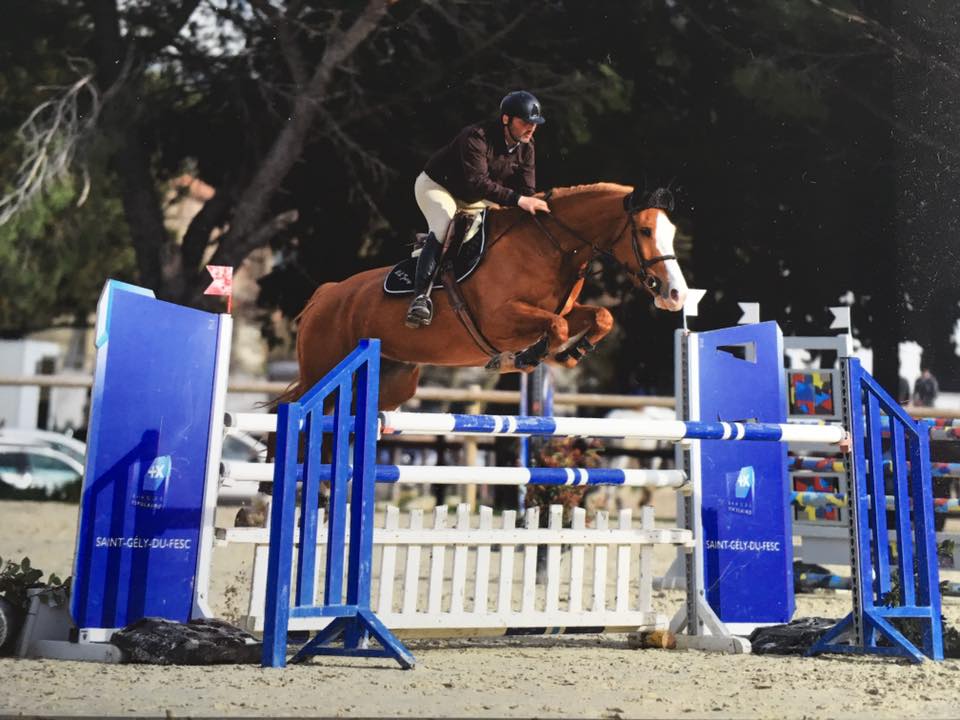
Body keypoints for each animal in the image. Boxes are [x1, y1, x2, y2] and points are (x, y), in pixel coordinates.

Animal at [287, 182, 688, 410]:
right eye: (645, 230)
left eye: (670, 231)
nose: (677, 294)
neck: (549, 246)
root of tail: (325, 295)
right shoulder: (500, 319)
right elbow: (555, 328)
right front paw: (523, 357)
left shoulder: (561, 310)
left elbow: (600, 317)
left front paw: (571, 353)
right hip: (323, 370)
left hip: (391, 380)